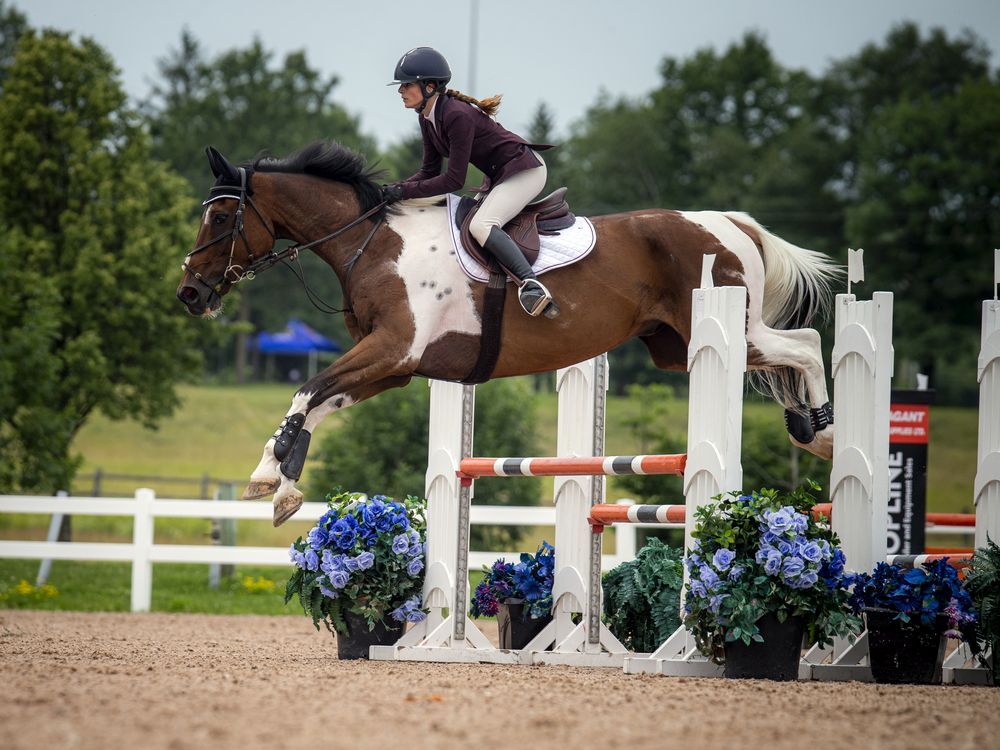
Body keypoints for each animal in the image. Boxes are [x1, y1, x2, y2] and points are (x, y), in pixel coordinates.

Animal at [176, 142, 841, 526]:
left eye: (220, 216)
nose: (189, 294)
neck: (372, 242)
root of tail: (731, 222)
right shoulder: (395, 368)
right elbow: (316, 400)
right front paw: (279, 482)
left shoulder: (391, 349)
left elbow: (307, 390)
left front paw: (271, 478)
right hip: (676, 351)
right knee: (792, 352)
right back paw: (810, 429)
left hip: (734, 331)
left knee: (807, 346)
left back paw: (822, 435)